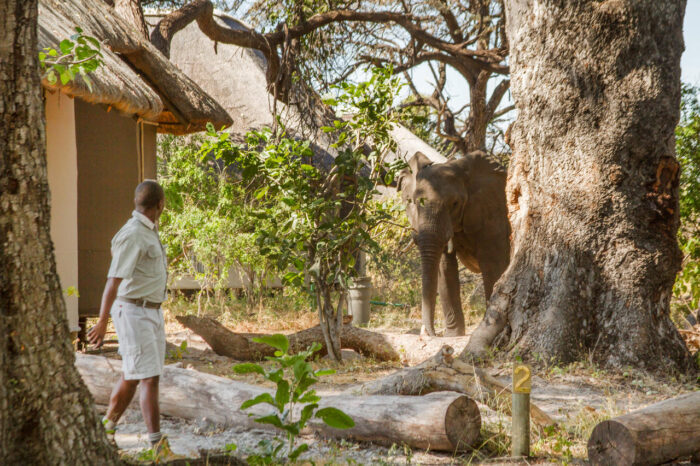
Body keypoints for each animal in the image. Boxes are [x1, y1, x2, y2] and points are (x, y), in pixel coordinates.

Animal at [400, 151, 508, 336]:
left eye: (455, 204)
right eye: (414, 203)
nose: (430, 333)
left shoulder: (493, 214)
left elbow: (492, 265)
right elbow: (444, 268)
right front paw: (452, 335)